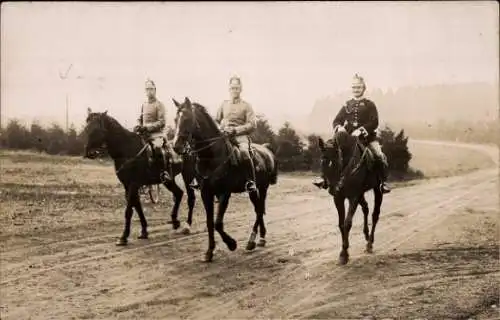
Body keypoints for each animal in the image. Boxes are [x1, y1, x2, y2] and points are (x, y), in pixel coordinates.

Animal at [83, 107, 196, 245]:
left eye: (97, 129)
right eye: (86, 128)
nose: (89, 153)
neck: (127, 149)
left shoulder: (133, 184)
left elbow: (129, 210)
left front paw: (123, 237)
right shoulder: (128, 186)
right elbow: (137, 207)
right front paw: (144, 231)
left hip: (188, 175)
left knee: (190, 198)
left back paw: (187, 226)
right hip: (168, 180)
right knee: (179, 193)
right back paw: (175, 221)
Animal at [173, 97, 280, 262]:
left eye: (186, 119)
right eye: (175, 120)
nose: (176, 146)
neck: (212, 157)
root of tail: (266, 150)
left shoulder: (224, 193)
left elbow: (218, 223)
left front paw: (231, 244)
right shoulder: (206, 193)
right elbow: (210, 222)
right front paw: (209, 252)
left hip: (261, 188)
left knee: (259, 210)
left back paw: (252, 240)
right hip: (253, 191)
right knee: (258, 209)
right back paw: (260, 238)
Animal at [318, 131, 384, 266]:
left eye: (333, 162)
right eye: (321, 161)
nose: (331, 187)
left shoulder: (353, 197)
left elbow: (347, 223)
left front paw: (344, 254)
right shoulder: (339, 198)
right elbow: (341, 224)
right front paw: (344, 252)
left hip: (377, 190)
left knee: (375, 215)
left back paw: (370, 243)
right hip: (361, 194)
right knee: (366, 208)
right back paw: (366, 235)